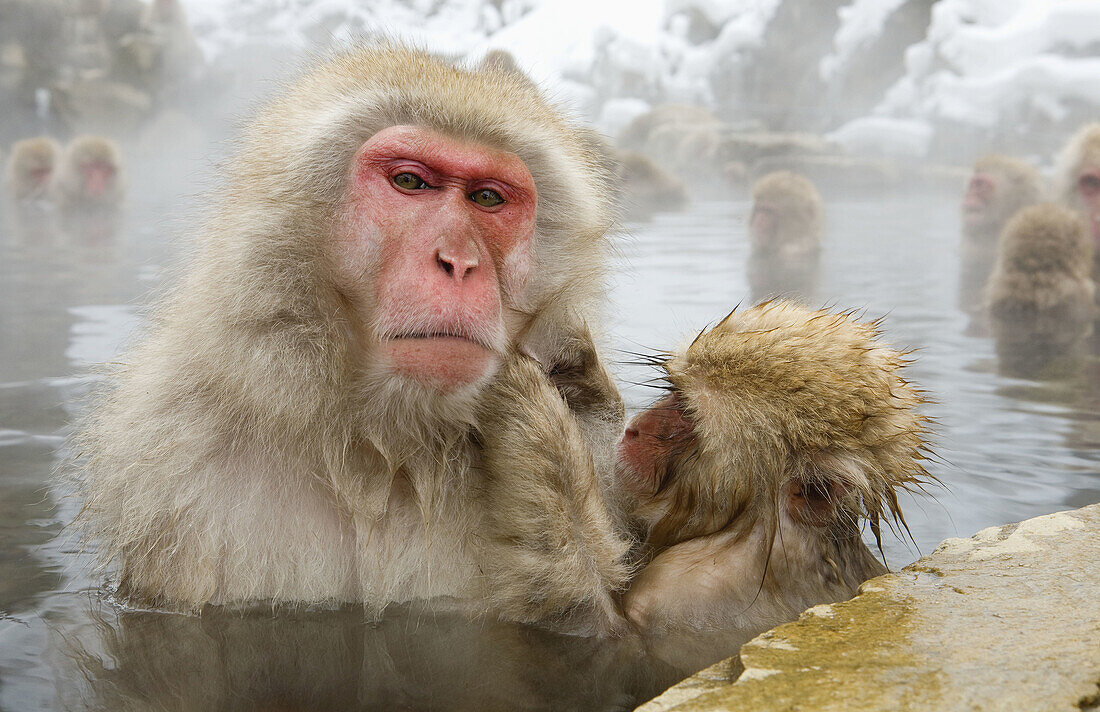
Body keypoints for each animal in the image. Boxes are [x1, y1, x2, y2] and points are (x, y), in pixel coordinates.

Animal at [70, 44, 629, 625]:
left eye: (488, 198)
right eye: (410, 183)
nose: (458, 261)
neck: (392, 445)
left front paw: (549, 452)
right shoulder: (174, 477)